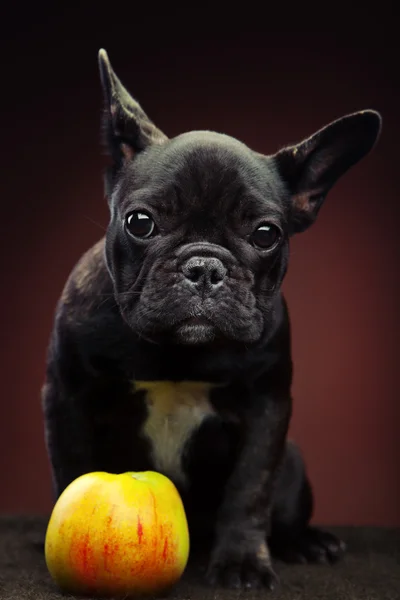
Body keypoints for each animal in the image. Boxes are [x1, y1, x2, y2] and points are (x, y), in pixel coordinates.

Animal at [40, 50, 382, 592]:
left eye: (265, 234)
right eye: (140, 222)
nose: (205, 267)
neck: (177, 354)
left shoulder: (266, 408)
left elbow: (249, 489)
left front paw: (241, 561)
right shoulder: (69, 395)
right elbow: (73, 467)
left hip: (294, 466)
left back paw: (308, 543)